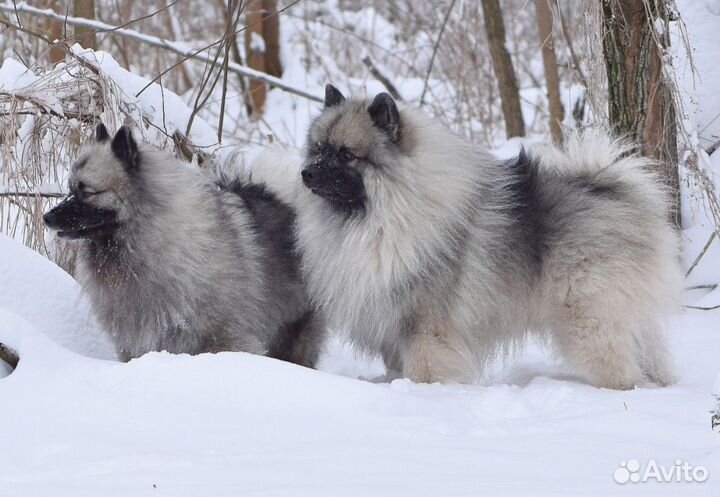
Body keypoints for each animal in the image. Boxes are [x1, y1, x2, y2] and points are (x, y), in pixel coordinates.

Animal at [253, 85, 680, 388]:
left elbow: (425, 368)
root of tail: (614, 189)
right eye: (317, 149)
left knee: (616, 363)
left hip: (588, 316)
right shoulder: (395, 322)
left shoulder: (425, 325)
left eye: (345, 155)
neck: (385, 211)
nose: (307, 173)